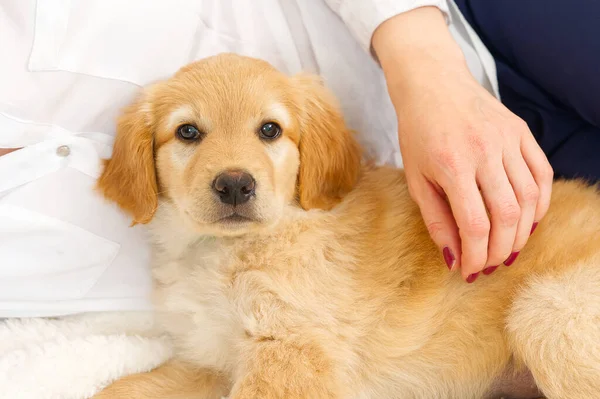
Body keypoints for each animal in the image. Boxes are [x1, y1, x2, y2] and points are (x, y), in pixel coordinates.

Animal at [94, 54, 600, 399]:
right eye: (188, 132)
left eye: (270, 130)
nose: (235, 185)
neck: (223, 249)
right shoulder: (212, 358)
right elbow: (123, 388)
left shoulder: (292, 351)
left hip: (547, 313)